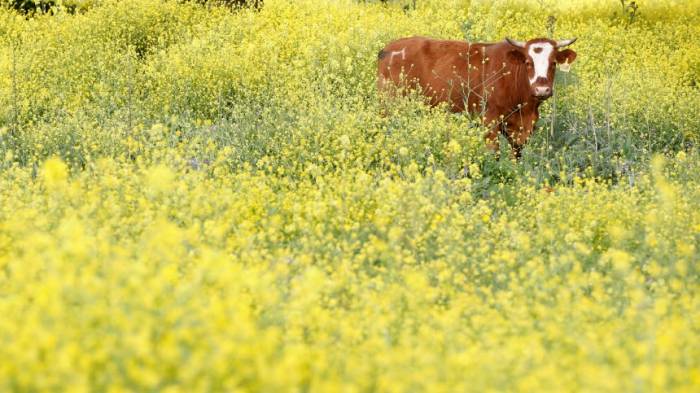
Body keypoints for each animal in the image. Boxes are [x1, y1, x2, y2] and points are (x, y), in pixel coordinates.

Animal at [380, 36, 576, 156]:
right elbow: (494, 153)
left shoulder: (521, 128)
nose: (542, 90)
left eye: (553, 63)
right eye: (528, 62)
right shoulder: (489, 121)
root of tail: (388, 49)